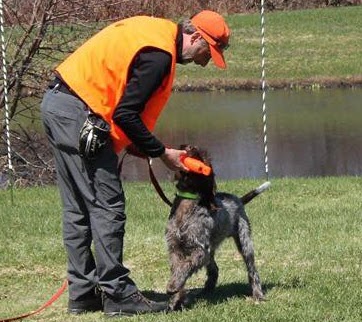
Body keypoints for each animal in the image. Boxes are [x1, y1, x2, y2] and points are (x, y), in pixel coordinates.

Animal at [165, 145, 270, 310]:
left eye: (202, 157)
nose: (186, 148)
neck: (186, 205)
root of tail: (239, 200)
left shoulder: (200, 250)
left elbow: (185, 267)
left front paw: (173, 286)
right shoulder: (175, 248)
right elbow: (177, 269)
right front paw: (176, 299)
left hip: (244, 243)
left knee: (252, 270)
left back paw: (258, 294)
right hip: (212, 250)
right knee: (214, 269)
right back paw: (206, 290)